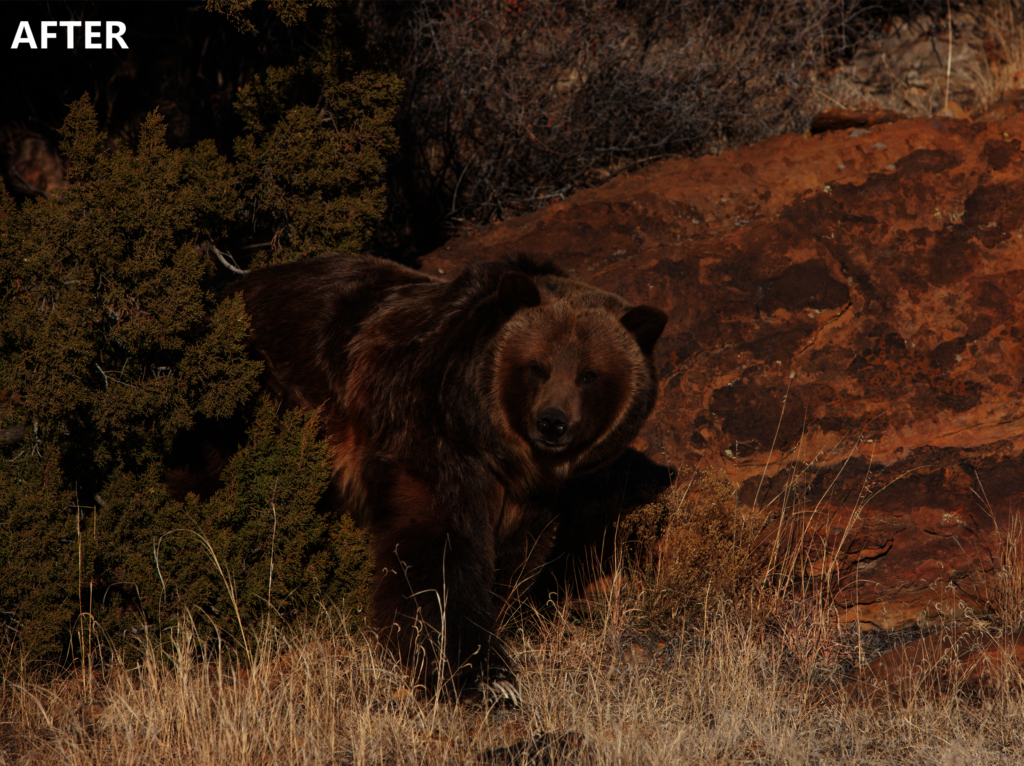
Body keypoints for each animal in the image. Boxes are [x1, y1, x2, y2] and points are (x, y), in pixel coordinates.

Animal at [224, 252, 667, 702]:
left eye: (589, 374)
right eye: (537, 367)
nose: (552, 423)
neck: (499, 448)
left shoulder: (533, 499)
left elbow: (515, 561)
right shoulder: (431, 440)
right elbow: (441, 556)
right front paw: (482, 673)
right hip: (266, 397)